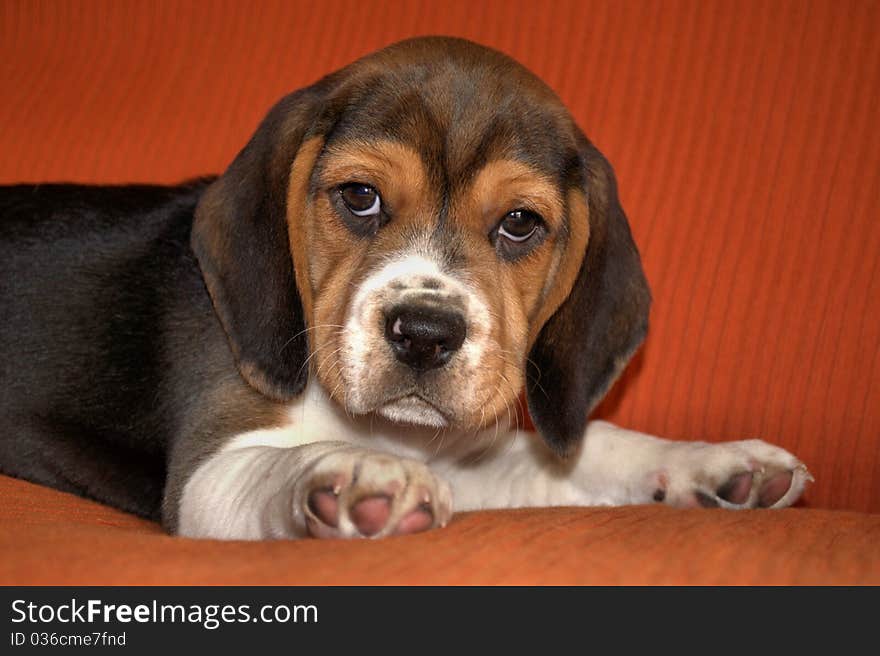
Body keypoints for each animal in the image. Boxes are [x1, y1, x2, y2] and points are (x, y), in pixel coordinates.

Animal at [0, 37, 812, 540]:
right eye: (360, 197)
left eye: (520, 223)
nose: (424, 333)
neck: (389, 429)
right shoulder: (209, 472)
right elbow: (275, 465)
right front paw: (350, 473)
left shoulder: (466, 456)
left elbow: (582, 452)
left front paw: (713, 466)